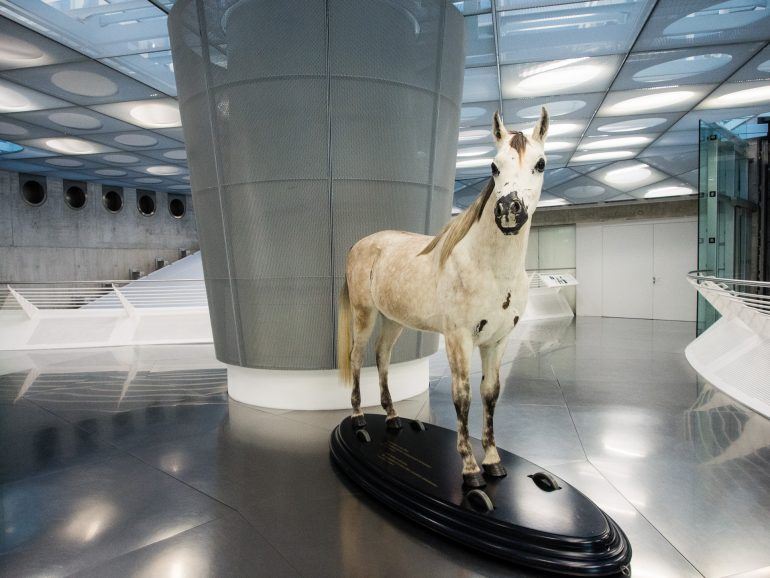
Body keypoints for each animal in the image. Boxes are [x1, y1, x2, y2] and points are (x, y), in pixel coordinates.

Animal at [336, 108, 544, 486]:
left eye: (540, 163)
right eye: (494, 166)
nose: (509, 209)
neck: (490, 268)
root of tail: (361, 244)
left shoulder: (498, 340)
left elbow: (490, 393)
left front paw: (493, 461)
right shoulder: (458, 338)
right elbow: (462, 397)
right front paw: (471, 469)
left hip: (393, 320)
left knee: (383, 357)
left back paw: (392, 418)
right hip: (364, 314)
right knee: (357, 357)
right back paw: (358, 418)